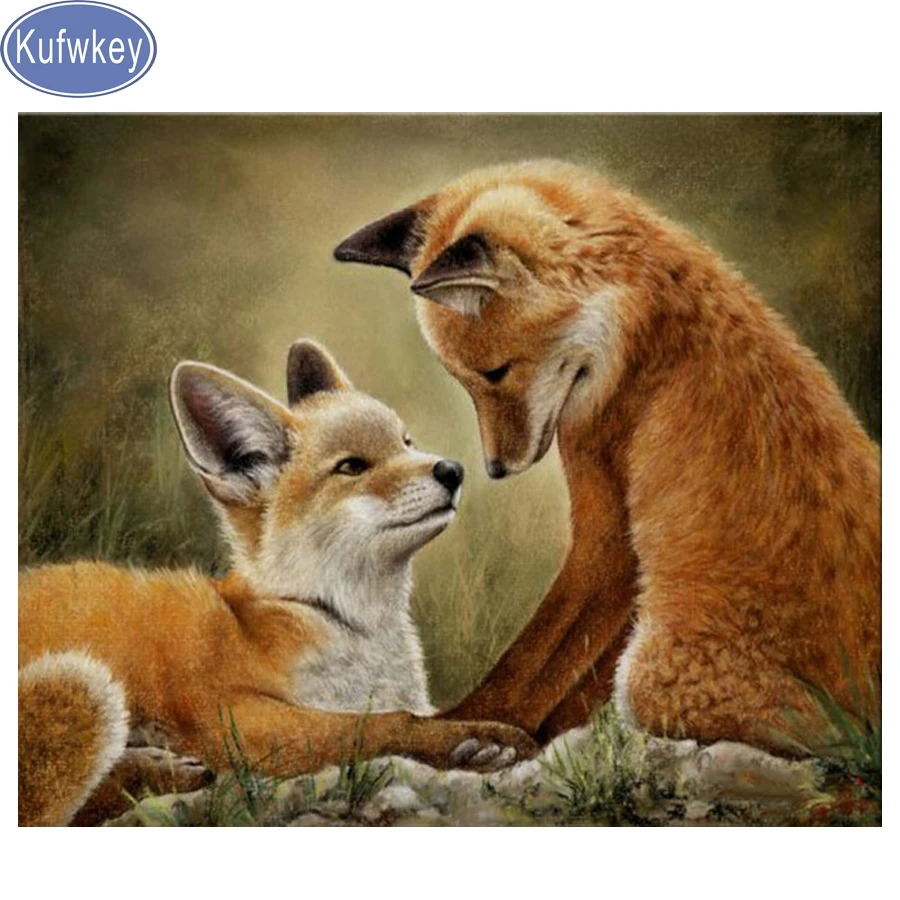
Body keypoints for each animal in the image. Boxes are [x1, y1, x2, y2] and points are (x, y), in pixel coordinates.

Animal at [18, 339, 536, 826]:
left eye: (406, 442)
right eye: (352, 466)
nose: (453, 469)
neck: (343, 622)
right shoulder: (228, 718)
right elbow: (376, 725)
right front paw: (471, 738)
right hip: (87, 686)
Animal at [334, 159, 882, 753]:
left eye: (494, 373)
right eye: (463, 381)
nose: (495, 470)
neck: (646, 321)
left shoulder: (610, 526)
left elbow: (537, 655)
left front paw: (475, 725)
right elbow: (567, 675)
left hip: (651, 682)